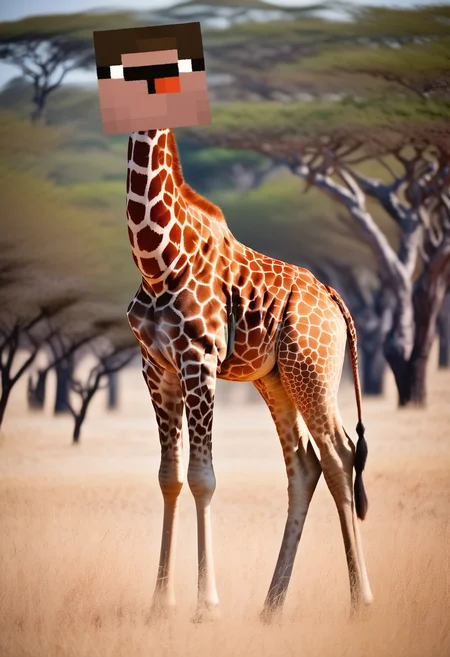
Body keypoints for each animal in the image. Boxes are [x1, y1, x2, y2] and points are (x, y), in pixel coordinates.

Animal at [92, 22, 373, 624]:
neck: (156, 258)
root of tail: (334, 298)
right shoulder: (156, 368)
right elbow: (169, 478)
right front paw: (160, 603)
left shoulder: (198, 360)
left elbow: (204, 479)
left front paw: (206, 605)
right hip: (276, 379)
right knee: (305, 466)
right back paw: (270, 606)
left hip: (313, 369)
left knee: (339, 456)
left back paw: (361, 600)